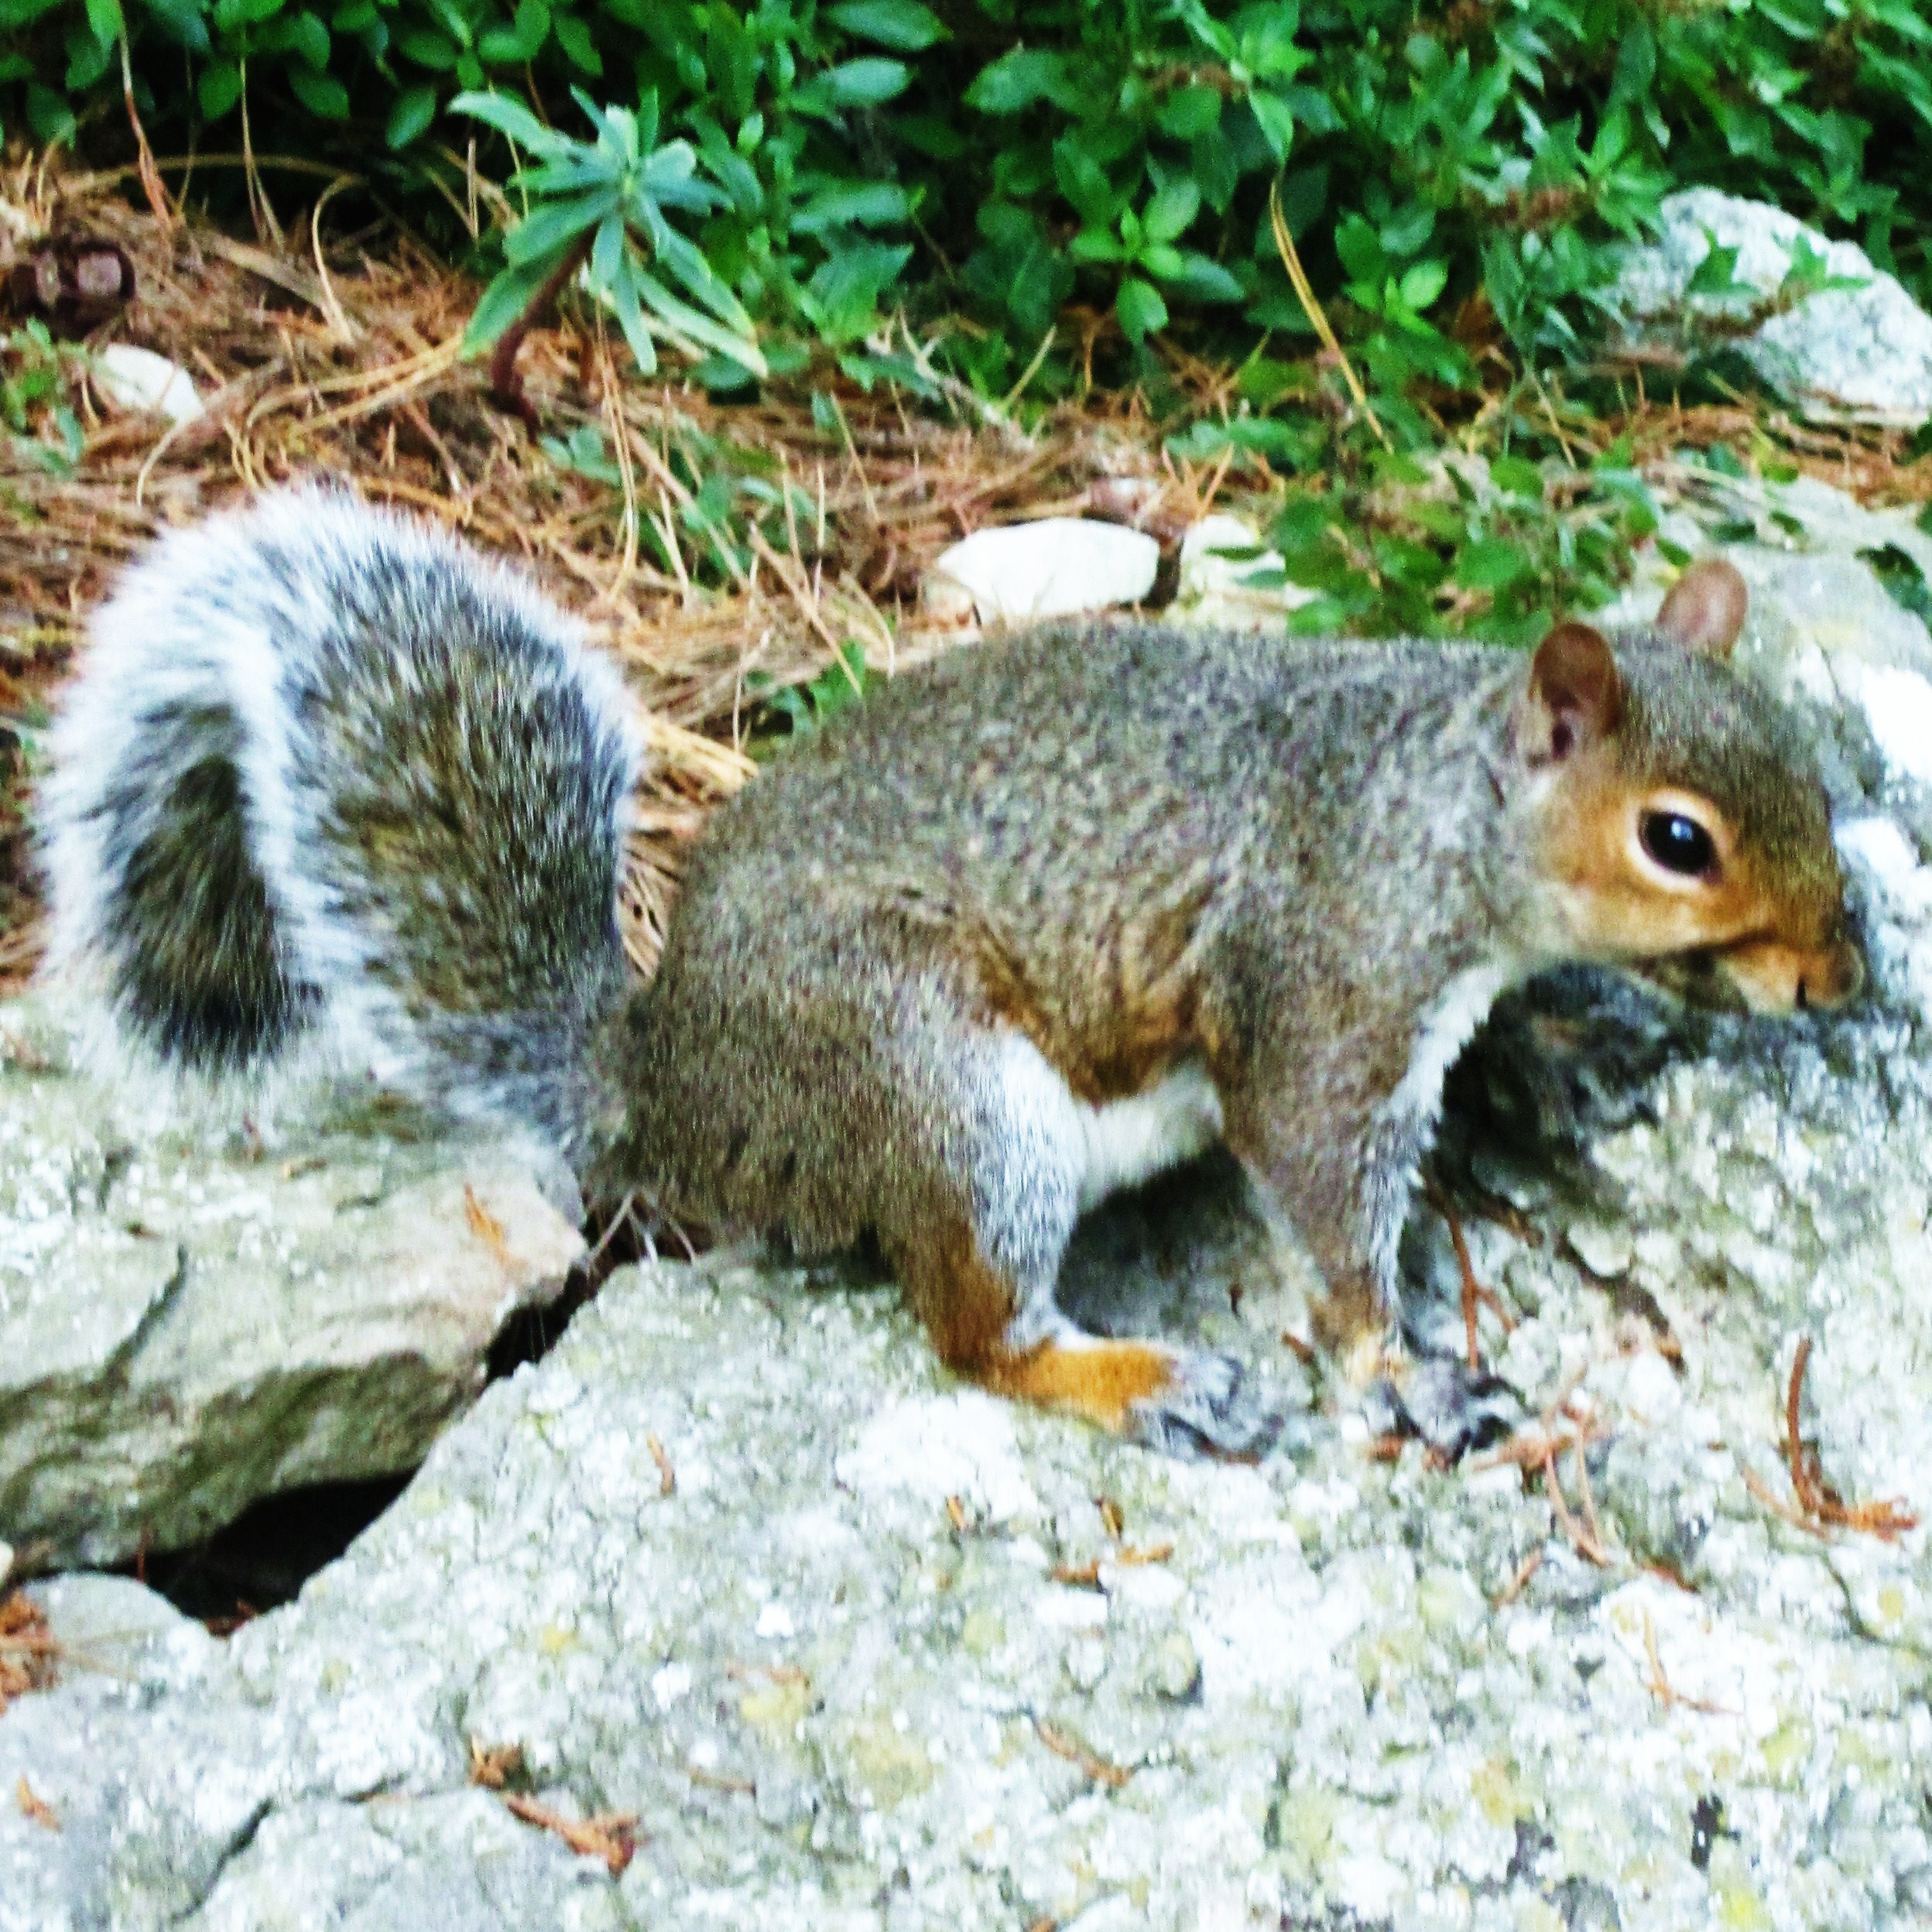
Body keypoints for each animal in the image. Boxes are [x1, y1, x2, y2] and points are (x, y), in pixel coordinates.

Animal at [38, 488, 1862, 1456]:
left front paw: (1575, 1047)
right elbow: (1322, 1191)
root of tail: (670, 1091)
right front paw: (1397, 1365)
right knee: (976, 1337)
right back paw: (1136, 1377)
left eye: (1815, 763)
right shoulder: (1322, 989)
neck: (1437, 808)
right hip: (941, 1087)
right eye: (1680, 840)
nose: (1841, 977)